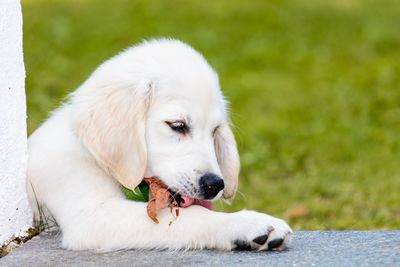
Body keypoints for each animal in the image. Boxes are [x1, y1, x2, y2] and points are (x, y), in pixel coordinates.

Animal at [26, 38, 292, 252]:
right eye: (178, 125)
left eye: (215, 131)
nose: (215, 185)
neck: (95, 157)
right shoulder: (92, 215)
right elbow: (195, 216)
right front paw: (246, 224)